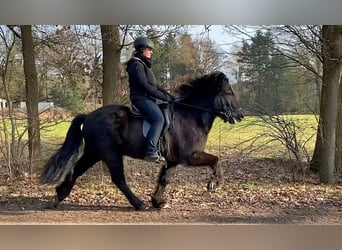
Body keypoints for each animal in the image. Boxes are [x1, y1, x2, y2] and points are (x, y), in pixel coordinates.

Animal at [40, 71, 243, 210]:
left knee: (76, 170)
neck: (191, 115)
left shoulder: (172, 160)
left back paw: (59, 196)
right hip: (110, 154)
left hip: (93, 153)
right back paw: (138, 204)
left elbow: (164, 179)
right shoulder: (190, 156)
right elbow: (216, 159)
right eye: (228, 92)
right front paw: (214, 183)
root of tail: (88, 116)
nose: (240, 116)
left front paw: (157, 201)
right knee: (119, 179)